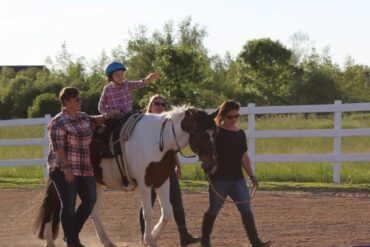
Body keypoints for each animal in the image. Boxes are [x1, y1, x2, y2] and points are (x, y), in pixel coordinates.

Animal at [34, 106, 220, 247]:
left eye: (215, 133)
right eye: (201, 134)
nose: (212, 165)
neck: (159, 141)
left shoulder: (162, 181)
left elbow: (167, 212)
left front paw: (152, 235)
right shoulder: (145, 183)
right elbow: (147, 213)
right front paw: (150, 240)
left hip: (94, 183)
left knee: (93, 210)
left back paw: (106, 241)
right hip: (67, 181)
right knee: (56, 205)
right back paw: (49, 240)